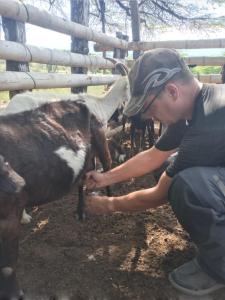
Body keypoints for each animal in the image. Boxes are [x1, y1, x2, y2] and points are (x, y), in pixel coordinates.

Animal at [0, 99, 111, 298]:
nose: (18, 183)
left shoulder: (11, 213)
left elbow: (8, 265)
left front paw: (14, 294)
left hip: (101, 141)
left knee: (108, 168)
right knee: (83, 178)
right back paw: (80, 212)